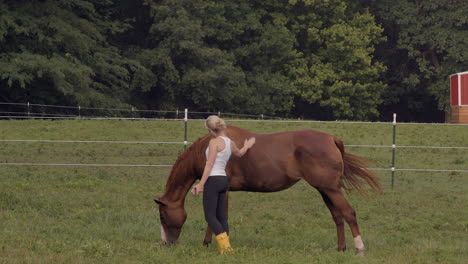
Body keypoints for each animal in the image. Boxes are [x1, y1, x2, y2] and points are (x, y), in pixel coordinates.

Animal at [155, 126, 382, 254]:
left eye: (163, 216)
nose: (167, 243)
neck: (208, 148)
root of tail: (331, 139)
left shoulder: (221, 190)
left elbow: (217, 217)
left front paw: (210, 243)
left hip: (331, 190)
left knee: (349, 213)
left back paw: (359, 248)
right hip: (325, 190)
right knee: (338, 216)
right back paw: (341, 248)